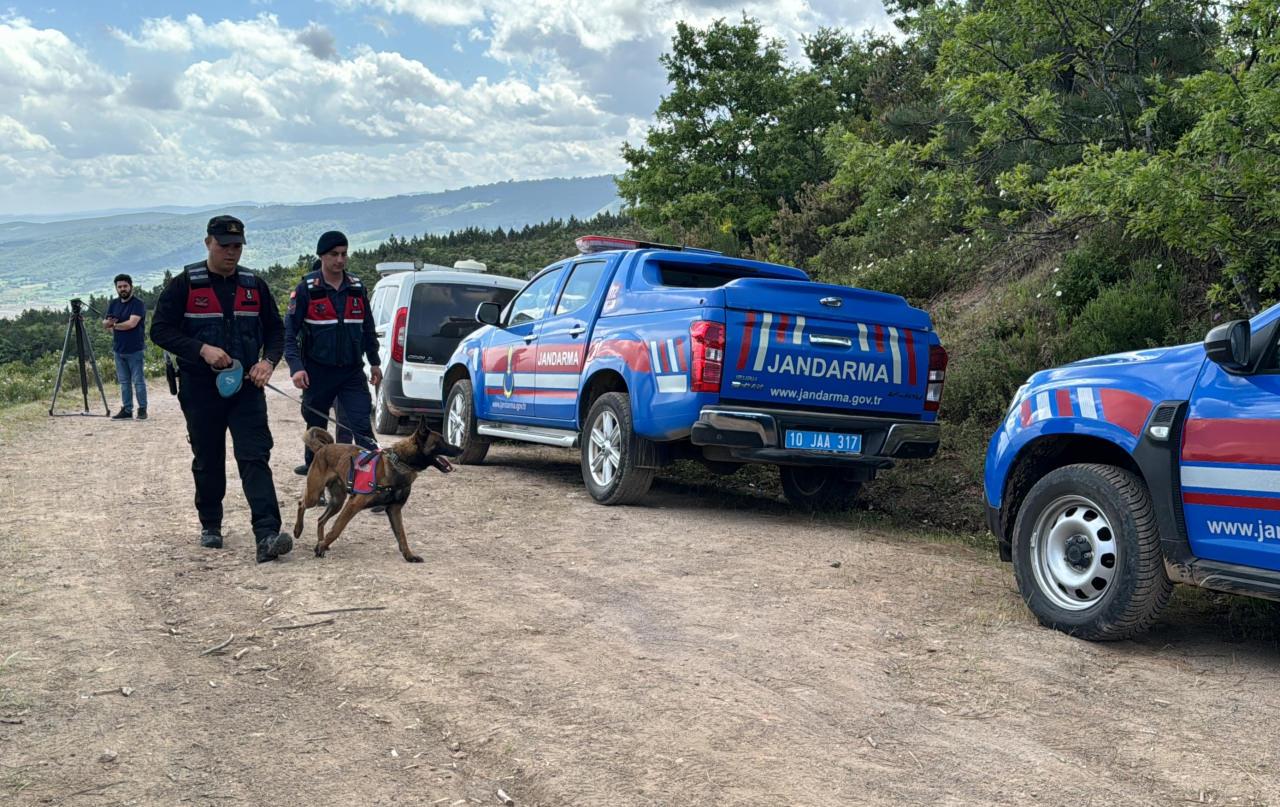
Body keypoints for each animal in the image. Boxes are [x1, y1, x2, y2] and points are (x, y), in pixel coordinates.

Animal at [294, 420, 460, 566]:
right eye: (440, 442)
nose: (461, 449)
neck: (400, 462)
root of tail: (324, 447)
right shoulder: (353, 505)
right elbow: (337, 529)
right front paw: (321, 546)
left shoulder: (394, 510)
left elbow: (402, 536)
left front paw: (409, 556)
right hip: (315, 496)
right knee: (302, 503)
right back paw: (298, 531)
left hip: (337, 502)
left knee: (320, 520)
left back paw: (321, 542)